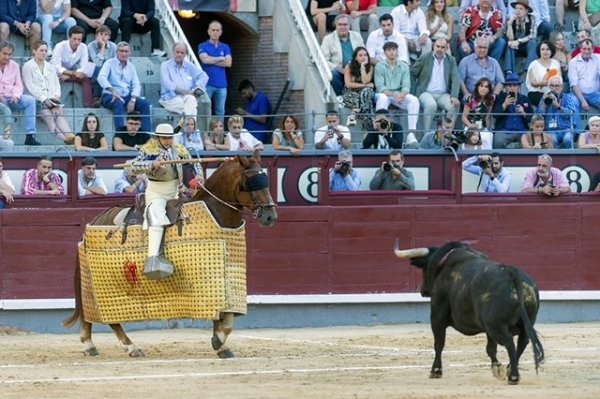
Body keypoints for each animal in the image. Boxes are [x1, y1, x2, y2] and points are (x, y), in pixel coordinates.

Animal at [62, 152, 278, 358]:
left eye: (265, 180)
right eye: (251, 182)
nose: (270, 216)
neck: (215, 212)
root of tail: (95, 220)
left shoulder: (229, 277)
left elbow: (228, 313)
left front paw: (221, 344)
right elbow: (222, 316)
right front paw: (219, 343)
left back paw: (93, 345)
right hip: (106, 282)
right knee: (103, 314)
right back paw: (124, 346)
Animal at [396, 241, 548, 384]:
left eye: (424, 268)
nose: (422, 290)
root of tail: (511, 274)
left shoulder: (437, 317)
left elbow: (439, 343)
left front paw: (436, 371)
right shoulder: (487, 329)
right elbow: (490, 348)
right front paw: (497, 368)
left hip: (496, 326)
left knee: (510, 343)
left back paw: (514, 376)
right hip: (517, 324)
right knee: (522, 342)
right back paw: (510, 369)